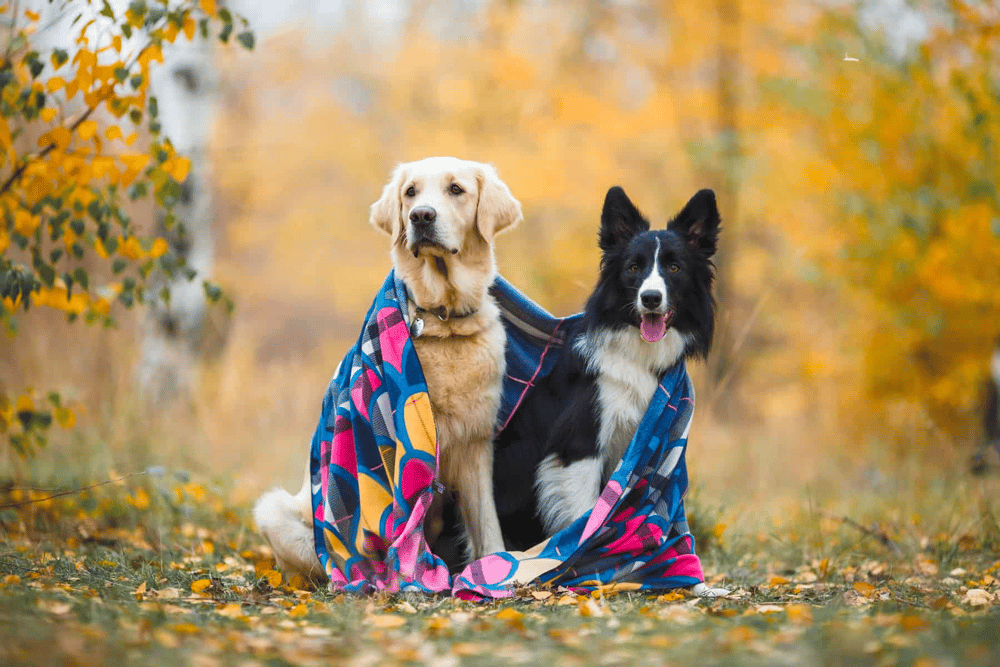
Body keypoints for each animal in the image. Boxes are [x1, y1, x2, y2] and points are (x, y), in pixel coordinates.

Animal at [254, 158, 524, 580]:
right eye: (410, 192)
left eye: (456, 189)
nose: (421, 216)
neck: (444, 323)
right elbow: (404, 523)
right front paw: (412, 575)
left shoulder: (476, 442)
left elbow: (486, 524)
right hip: (276, 512)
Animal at [494, 185, 724, 596]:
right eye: (633, 268)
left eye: (674, 268)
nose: (650, 298)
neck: (638, 354)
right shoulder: (580, 444)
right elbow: (588, 516)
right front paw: (577, 570)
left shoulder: (657, 447)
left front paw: (696, 585)